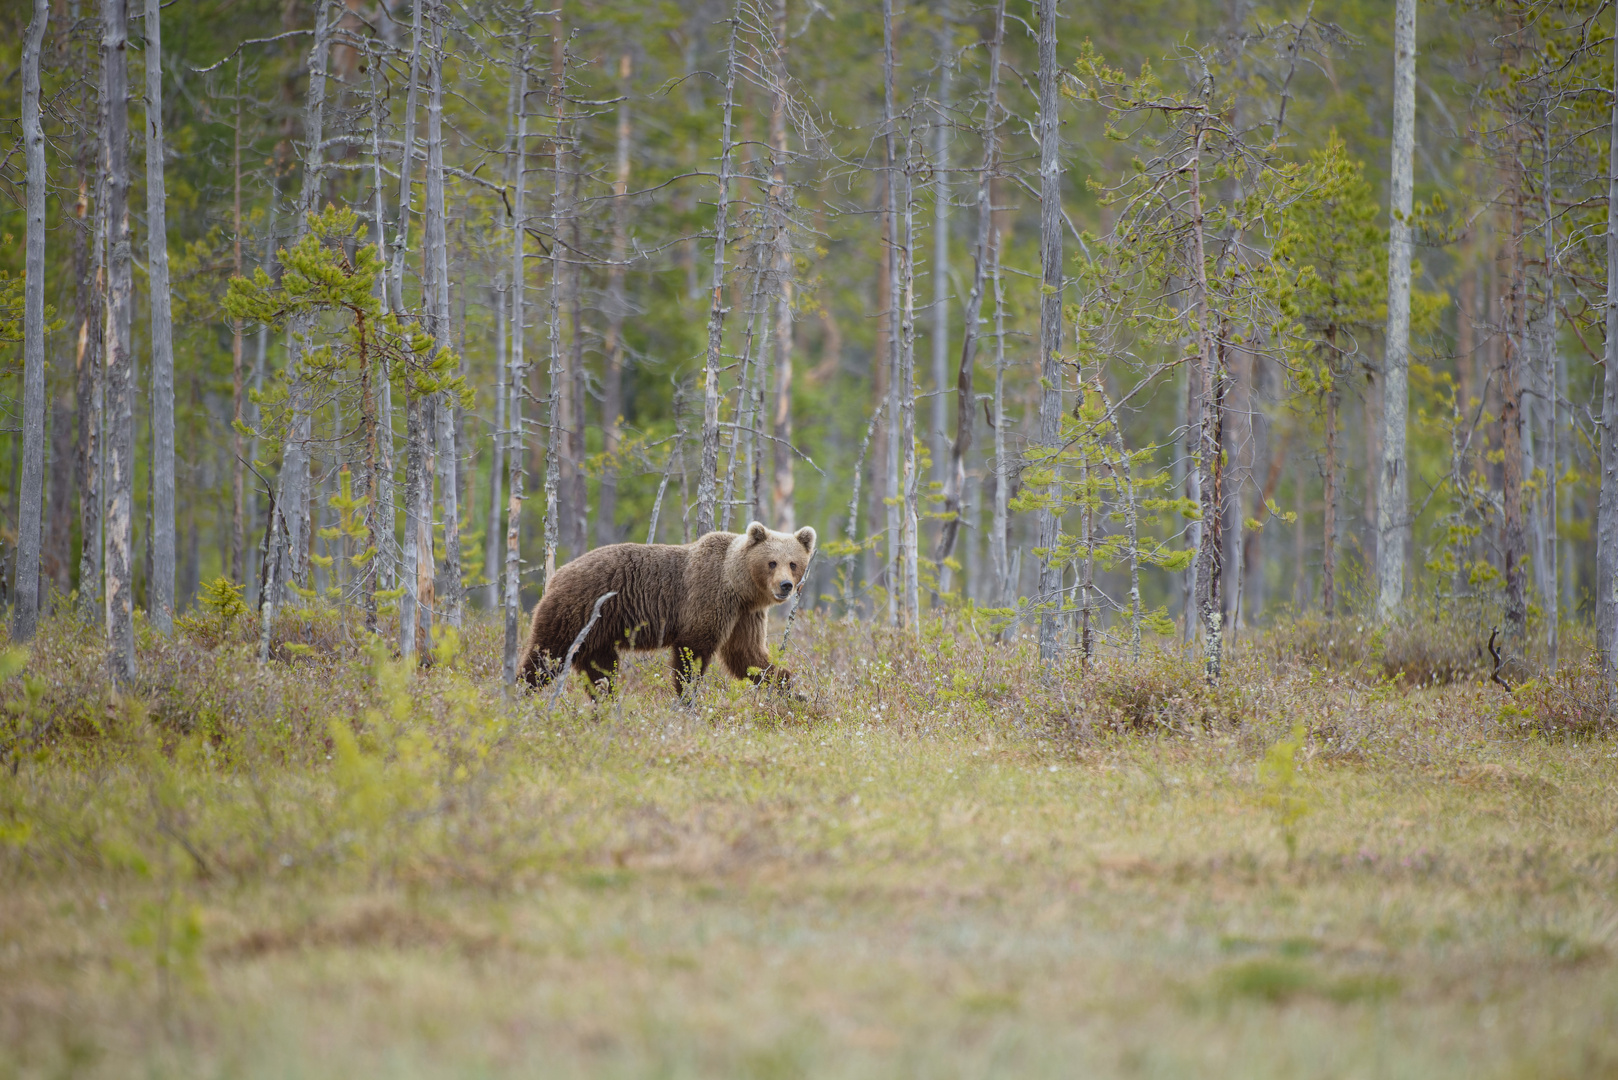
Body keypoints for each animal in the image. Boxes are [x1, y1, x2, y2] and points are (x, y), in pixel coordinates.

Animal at [520, 521, 815, 693]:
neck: (738, 586)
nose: (786, 585)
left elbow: (748, 656)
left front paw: (792, 687)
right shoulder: (709, 598)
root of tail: (558, 574)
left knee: (601, 670)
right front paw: (687, 697)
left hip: (599, 633)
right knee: (546, 655)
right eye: (772, 562)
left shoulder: (745, 615)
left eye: (793, 563)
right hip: (574, 611)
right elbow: (693, 651)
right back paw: (522, 694)